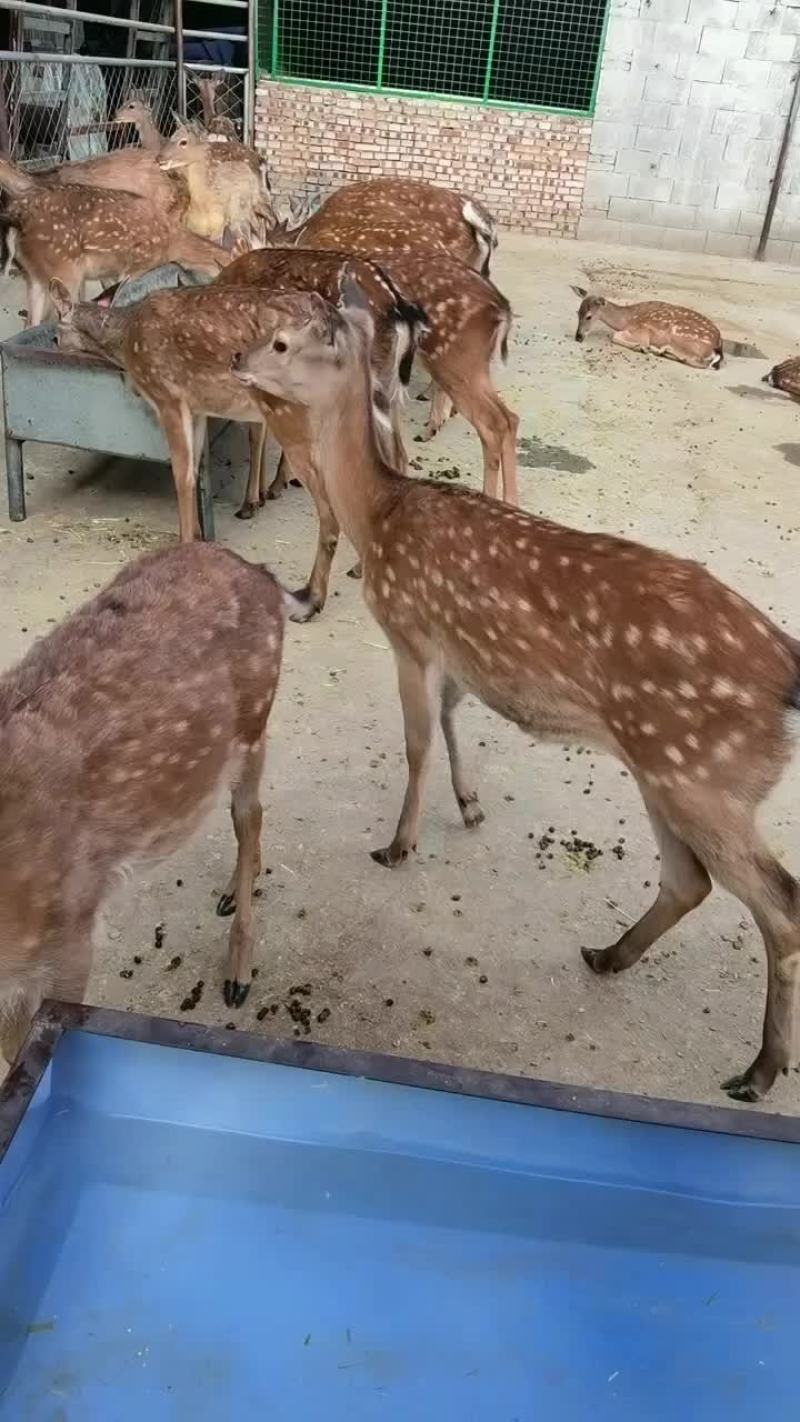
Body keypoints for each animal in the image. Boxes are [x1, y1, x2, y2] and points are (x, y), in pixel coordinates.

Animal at [0, 171, 228, 326]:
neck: (173, 243)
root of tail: (17, 215)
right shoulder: (138, 264)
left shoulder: (111, 270)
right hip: (64, 266)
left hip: (33, 274)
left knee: (31, 323)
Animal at [572, 287, 724, 369]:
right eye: (578, 312)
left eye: (589, 316)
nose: (578, 337)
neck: (626, 319)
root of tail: (717, 346)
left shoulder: (643, 330)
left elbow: (614, 335)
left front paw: (641, 347)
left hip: (682, 337)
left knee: (699, 361)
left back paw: (659, 349)